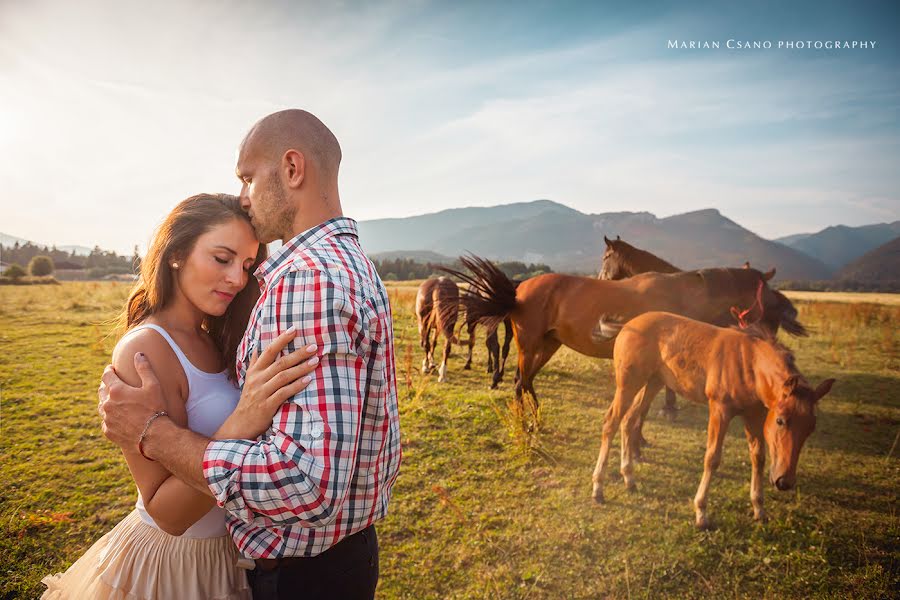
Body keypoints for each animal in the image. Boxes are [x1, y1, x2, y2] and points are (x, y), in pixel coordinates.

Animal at [446, 253, 804, 412]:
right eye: (769, 294)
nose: (791, 312)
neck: (681, 294)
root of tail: (518, 291)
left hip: (547, 345)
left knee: (526, 381)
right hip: (530, 345)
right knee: (521, 382)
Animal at [592, 312, 836, 528]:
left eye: (810, 428)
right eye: (780, 421)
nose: (784, 482)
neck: (749, 364)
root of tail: (628, 324)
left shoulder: (754, 415)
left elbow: (758, 457)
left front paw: (759, 508)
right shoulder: (720, 409)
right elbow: (712, 458)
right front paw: (701, 513)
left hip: (653, 382)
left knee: (629, 421)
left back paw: (629, 479)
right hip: (629, 383)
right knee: (611, 422)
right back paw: (598, 489)